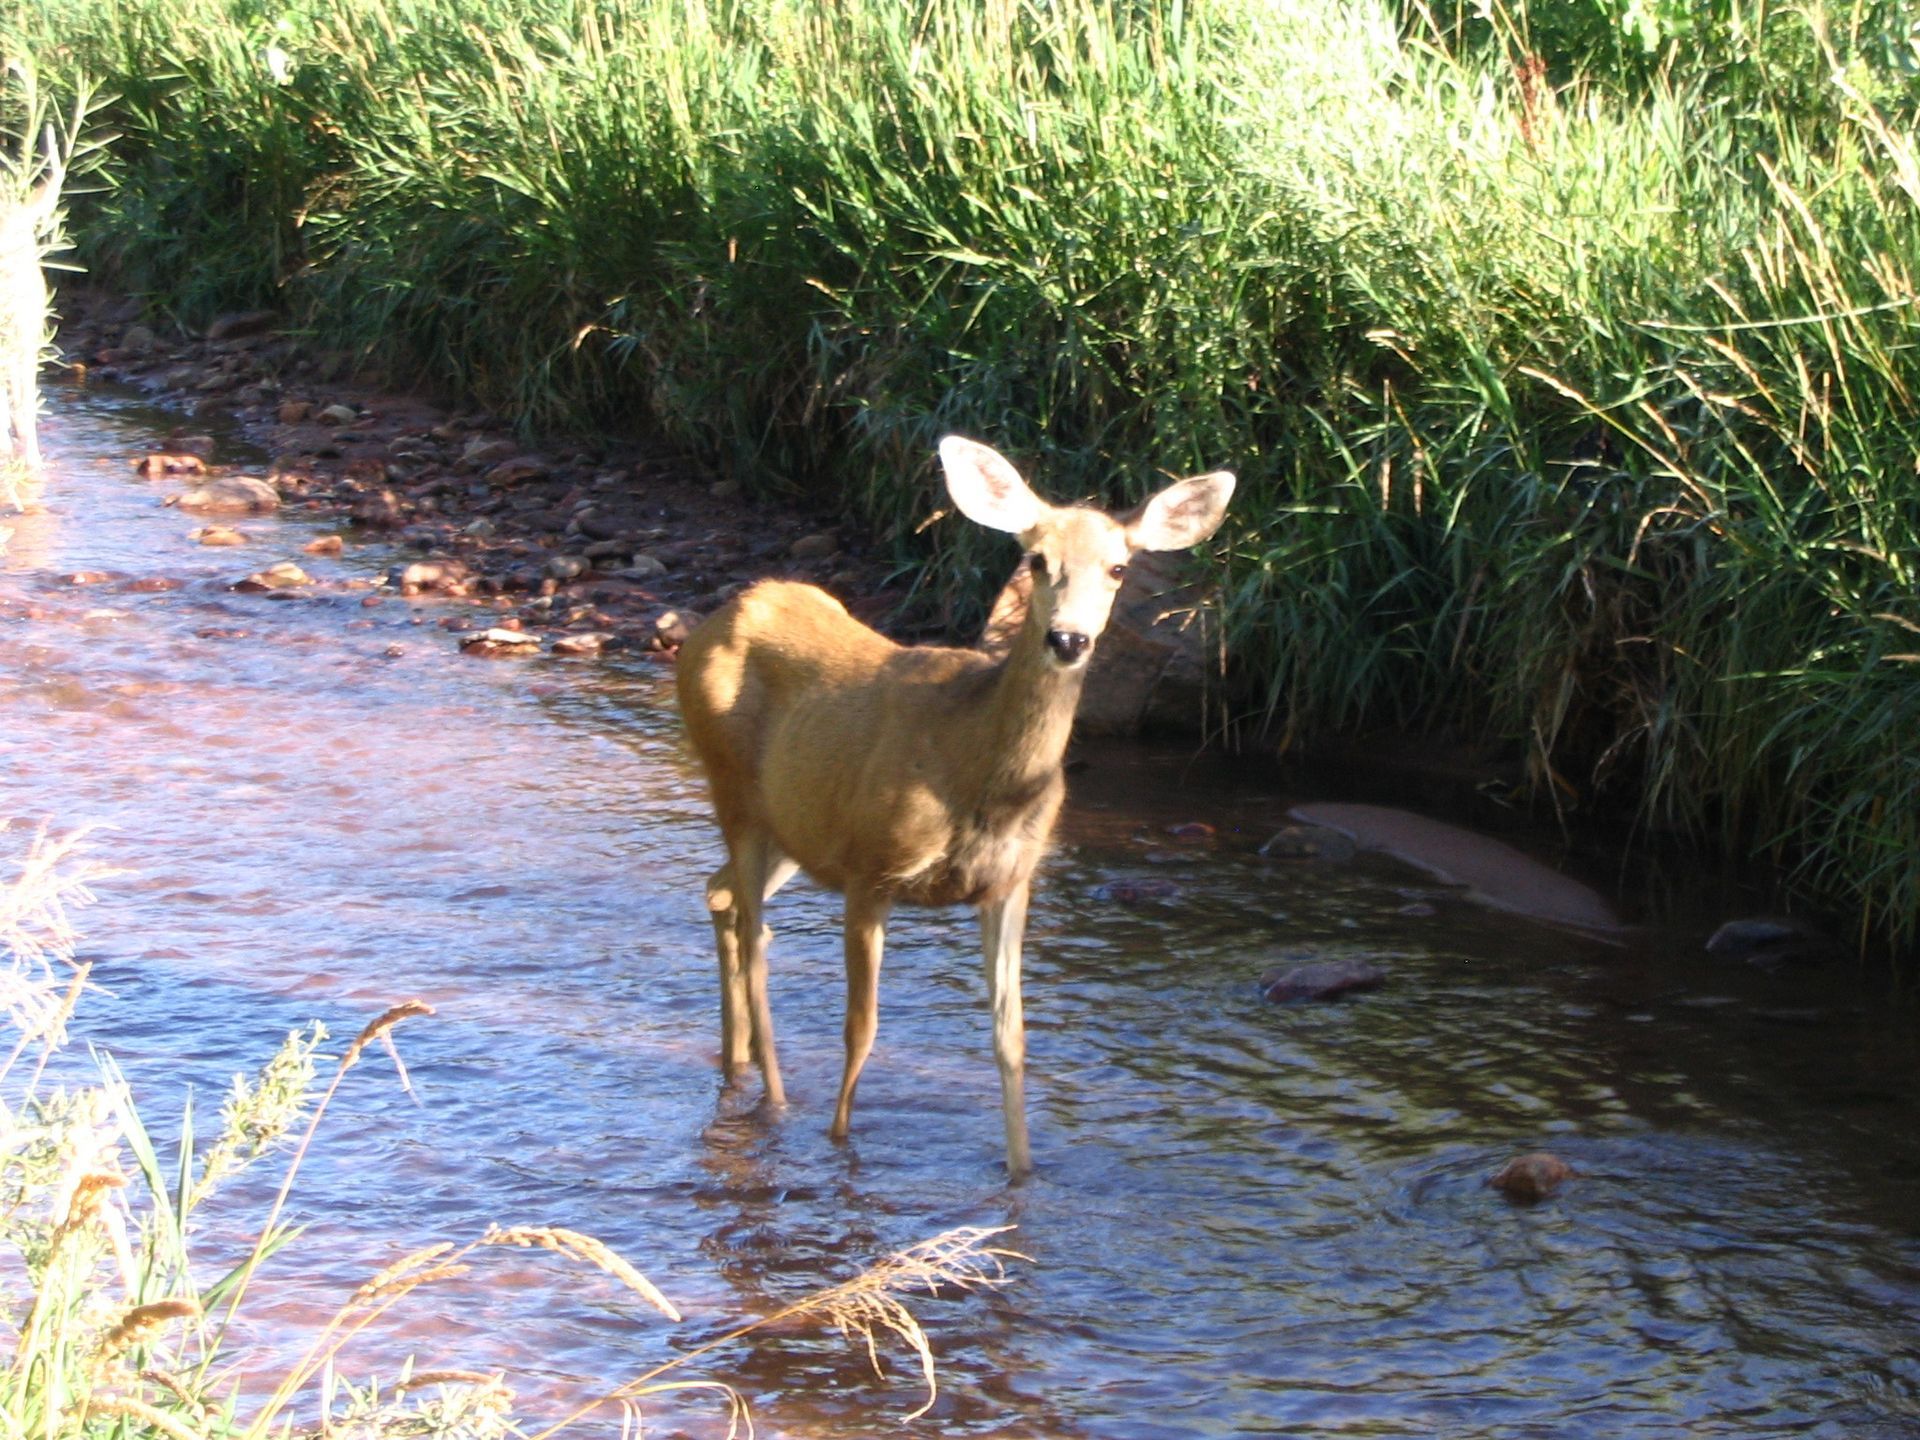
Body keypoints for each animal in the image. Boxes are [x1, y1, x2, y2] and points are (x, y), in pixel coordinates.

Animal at [675, 436, 1234, 1176]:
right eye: (1036, 560)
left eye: (1119, 567)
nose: (1068, 640)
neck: (980, 776)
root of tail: (715, 619)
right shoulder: (871, 864)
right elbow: (862, 1029)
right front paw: (841, 1145)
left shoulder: (1009, 882)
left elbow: (1010, 1038)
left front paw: (1023, 1173)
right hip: (732, 787)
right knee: (755, 939)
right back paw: (775, 1097)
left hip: (793, 827)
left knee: (721, 897)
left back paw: (734, 1063)